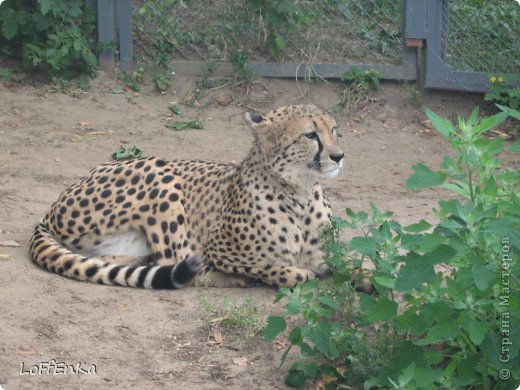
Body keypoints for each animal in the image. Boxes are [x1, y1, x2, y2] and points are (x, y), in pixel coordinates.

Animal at [29, 104, 346, 290]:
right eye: (310, 135)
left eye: (334, 131)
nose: (339, 156)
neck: (299, 190)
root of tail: (51, 208)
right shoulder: (217, 249)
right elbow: (277, 269)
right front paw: (292, 274)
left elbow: (351, 267)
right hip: (158, 170)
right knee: (176, 261)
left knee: (119, 260)